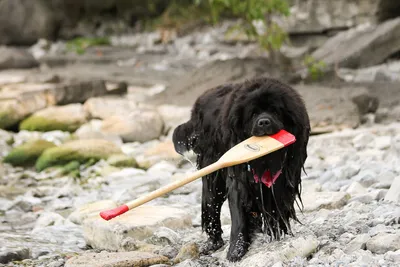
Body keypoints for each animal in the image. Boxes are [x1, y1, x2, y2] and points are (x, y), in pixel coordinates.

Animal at [172, 77, 310, 262]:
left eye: (275, 111)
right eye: (253, 114)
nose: (264, 122)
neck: (265, 159)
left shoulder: (285, 178)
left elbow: (276, 208)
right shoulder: (239, 179)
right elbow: (238, 214)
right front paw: (236, 250)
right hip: (212, 175)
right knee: (211, 205)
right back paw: (214, 242)